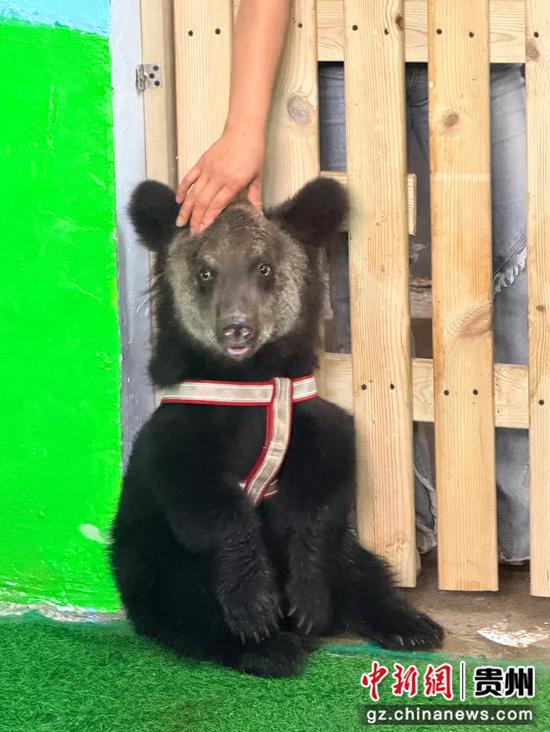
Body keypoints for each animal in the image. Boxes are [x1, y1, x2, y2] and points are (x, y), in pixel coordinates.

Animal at [110, 177, 444, 678]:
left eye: (263, 267)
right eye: (205, 272)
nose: (237, 328)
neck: (250, 382)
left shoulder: (307, 416)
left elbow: (321, 497)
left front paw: (308, 599)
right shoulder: (180, 436)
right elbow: (207, 508)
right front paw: (255, 608)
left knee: (358, 567)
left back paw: (406, 623)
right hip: (148, 549)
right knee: (180, 598)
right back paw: (270, 646)